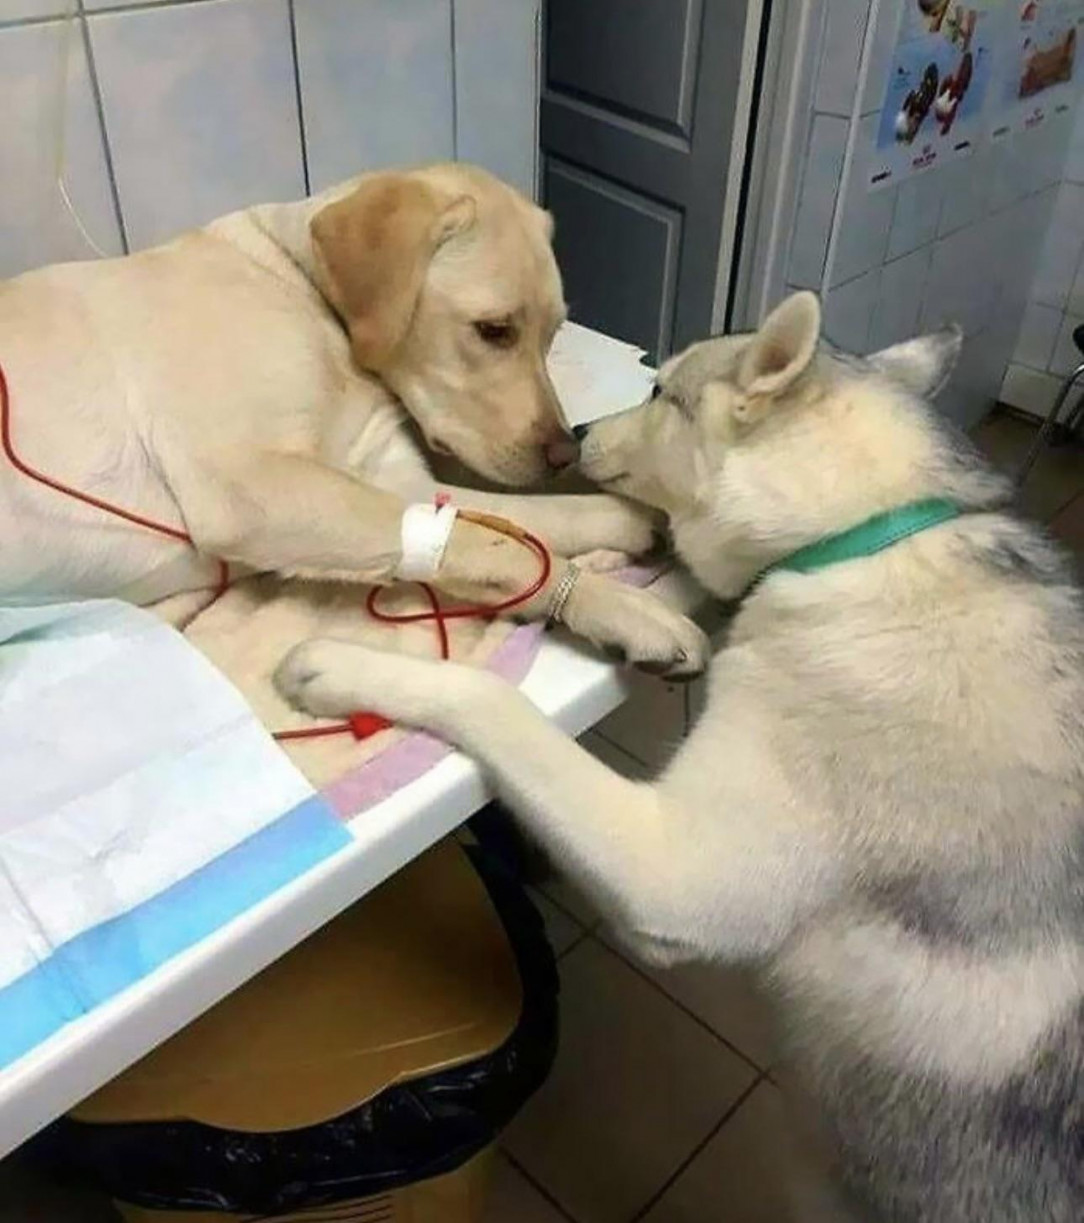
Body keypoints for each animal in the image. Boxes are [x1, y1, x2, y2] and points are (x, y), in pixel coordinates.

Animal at [0, 160, 704, 679]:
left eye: (555, 331)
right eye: (494, 330)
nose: (564, 453)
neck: (307, 296)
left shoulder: (396, 483)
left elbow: (527, 522)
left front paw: (625, 515)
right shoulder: (254, 487)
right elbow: (499, 545)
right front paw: (625, 609)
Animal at [277, 291, 1084, 1218]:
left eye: (661, 390)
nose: (578, 432)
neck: (865, 534)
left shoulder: (677, 874)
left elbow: (491, 700)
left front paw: (341, 668)